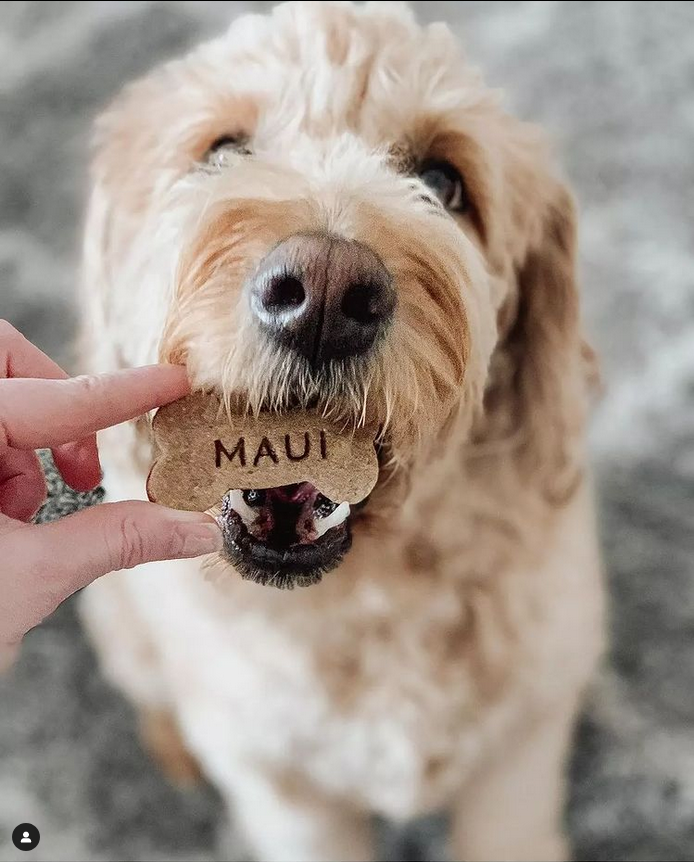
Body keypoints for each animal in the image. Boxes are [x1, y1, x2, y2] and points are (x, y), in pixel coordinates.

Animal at [79, 3, 608, 860]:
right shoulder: (283, 791)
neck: (367, 601)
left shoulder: (520, 759)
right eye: (220, 151)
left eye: (445, 182)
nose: (323, 293)